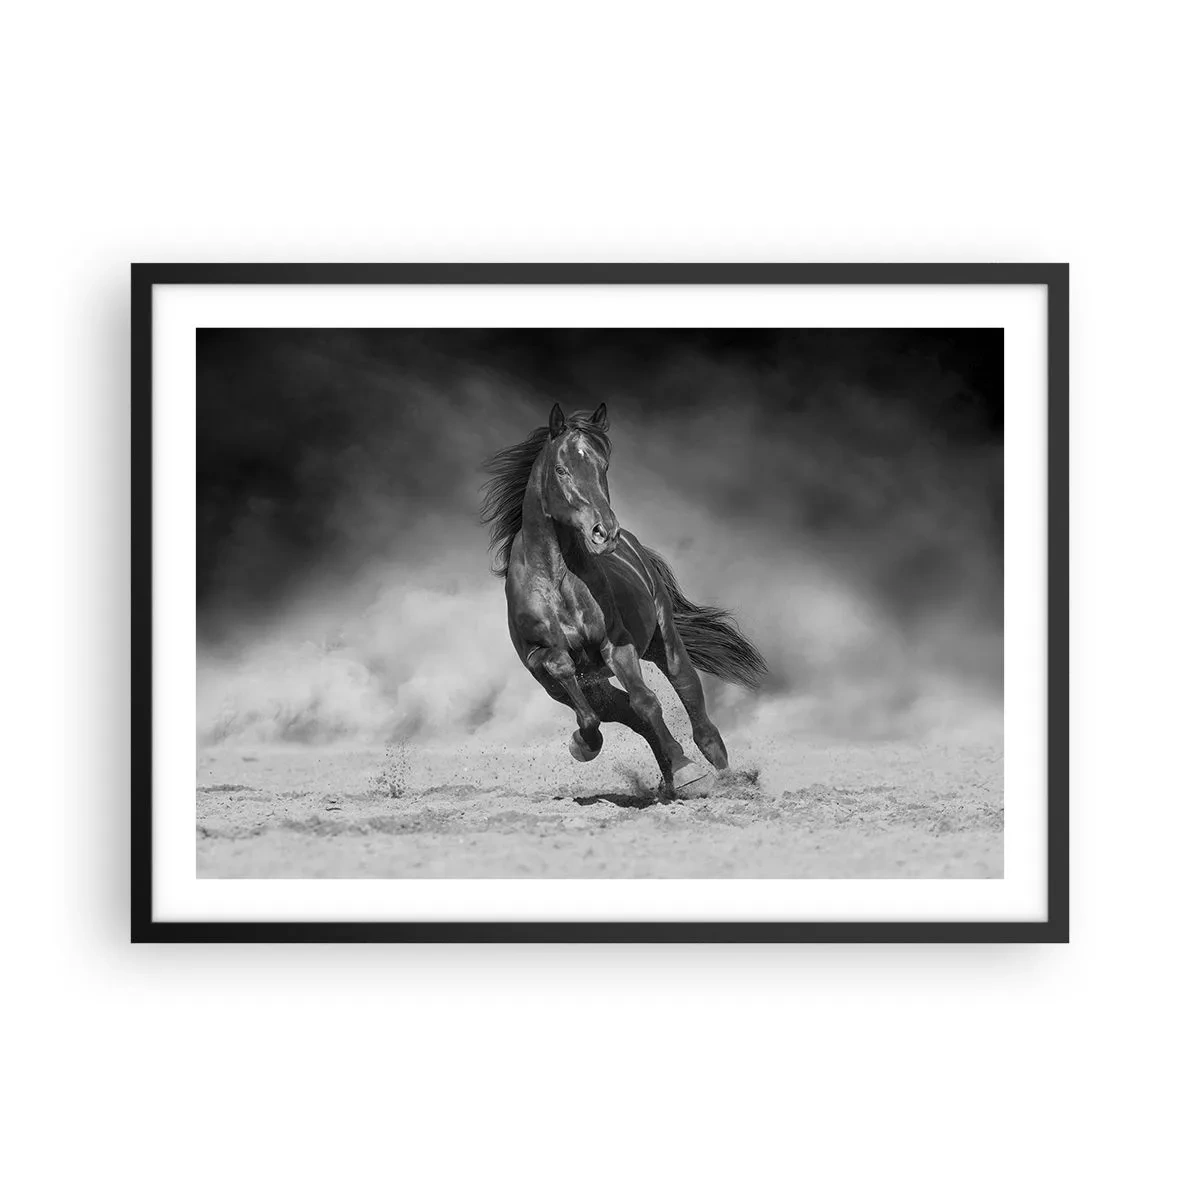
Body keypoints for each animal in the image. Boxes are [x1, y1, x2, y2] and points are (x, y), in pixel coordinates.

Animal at [480, 402, 767, 797]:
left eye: (603, 467)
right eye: (562, 469)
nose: (604, 532)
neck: (556, 579)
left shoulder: (616, 646)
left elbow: (646, 702)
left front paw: (688, 772)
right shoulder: (541, 662)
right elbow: (578, 692)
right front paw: (583, 744)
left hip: (665, 643)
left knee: (691, 703)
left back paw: (723, 778)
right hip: (584, 684)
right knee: (622, 713)